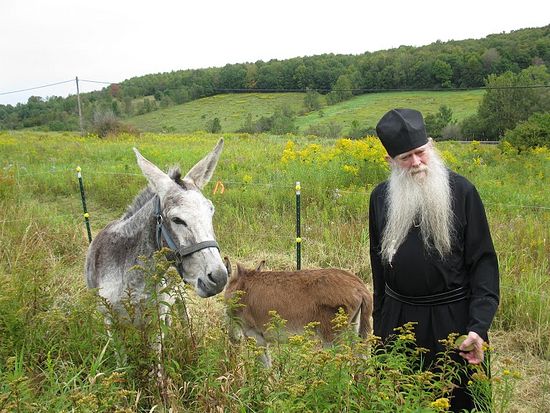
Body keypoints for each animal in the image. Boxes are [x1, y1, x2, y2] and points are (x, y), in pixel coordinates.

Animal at [224, 260, 376, 366]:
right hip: (355, 331)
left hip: (332, 337)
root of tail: (360, 286)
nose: (232, 336)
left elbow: (264, 368)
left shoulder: (255, 336)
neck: (241, 288)